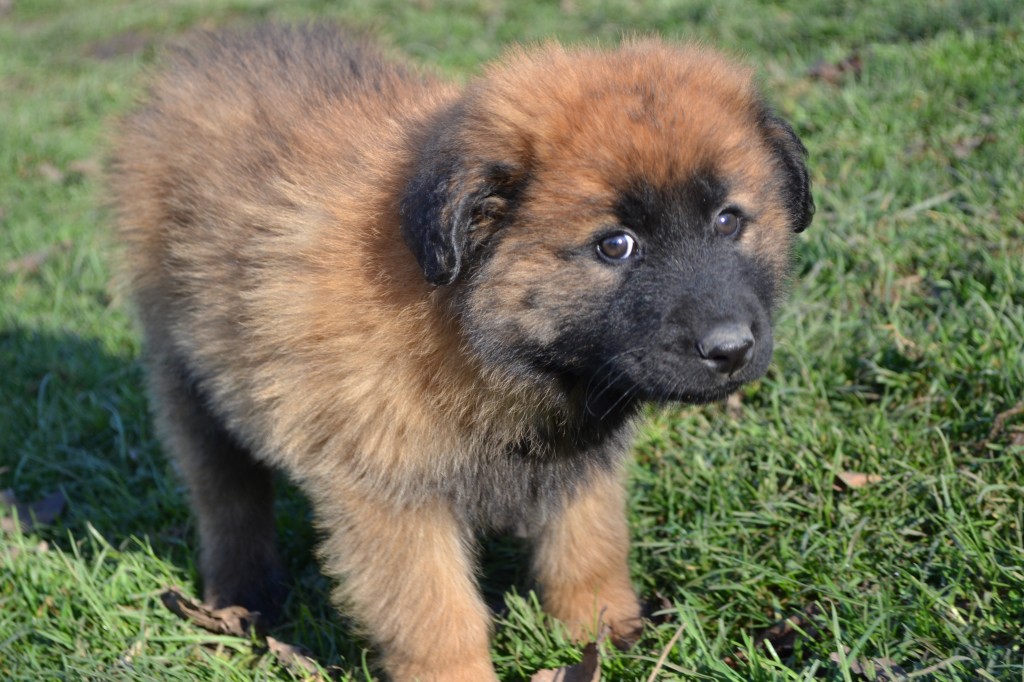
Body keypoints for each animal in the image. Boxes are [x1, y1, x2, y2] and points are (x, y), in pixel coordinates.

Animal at [110, 22, 815, 679]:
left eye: (727, 220)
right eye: (616, 245)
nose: (731, 348)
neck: (474, 334)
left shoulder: (582, 460)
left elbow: (589, 549)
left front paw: (604, 635)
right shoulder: (390, 495)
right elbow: (436, 617)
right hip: (190, 385)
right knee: (227, 498)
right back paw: (242, 598)